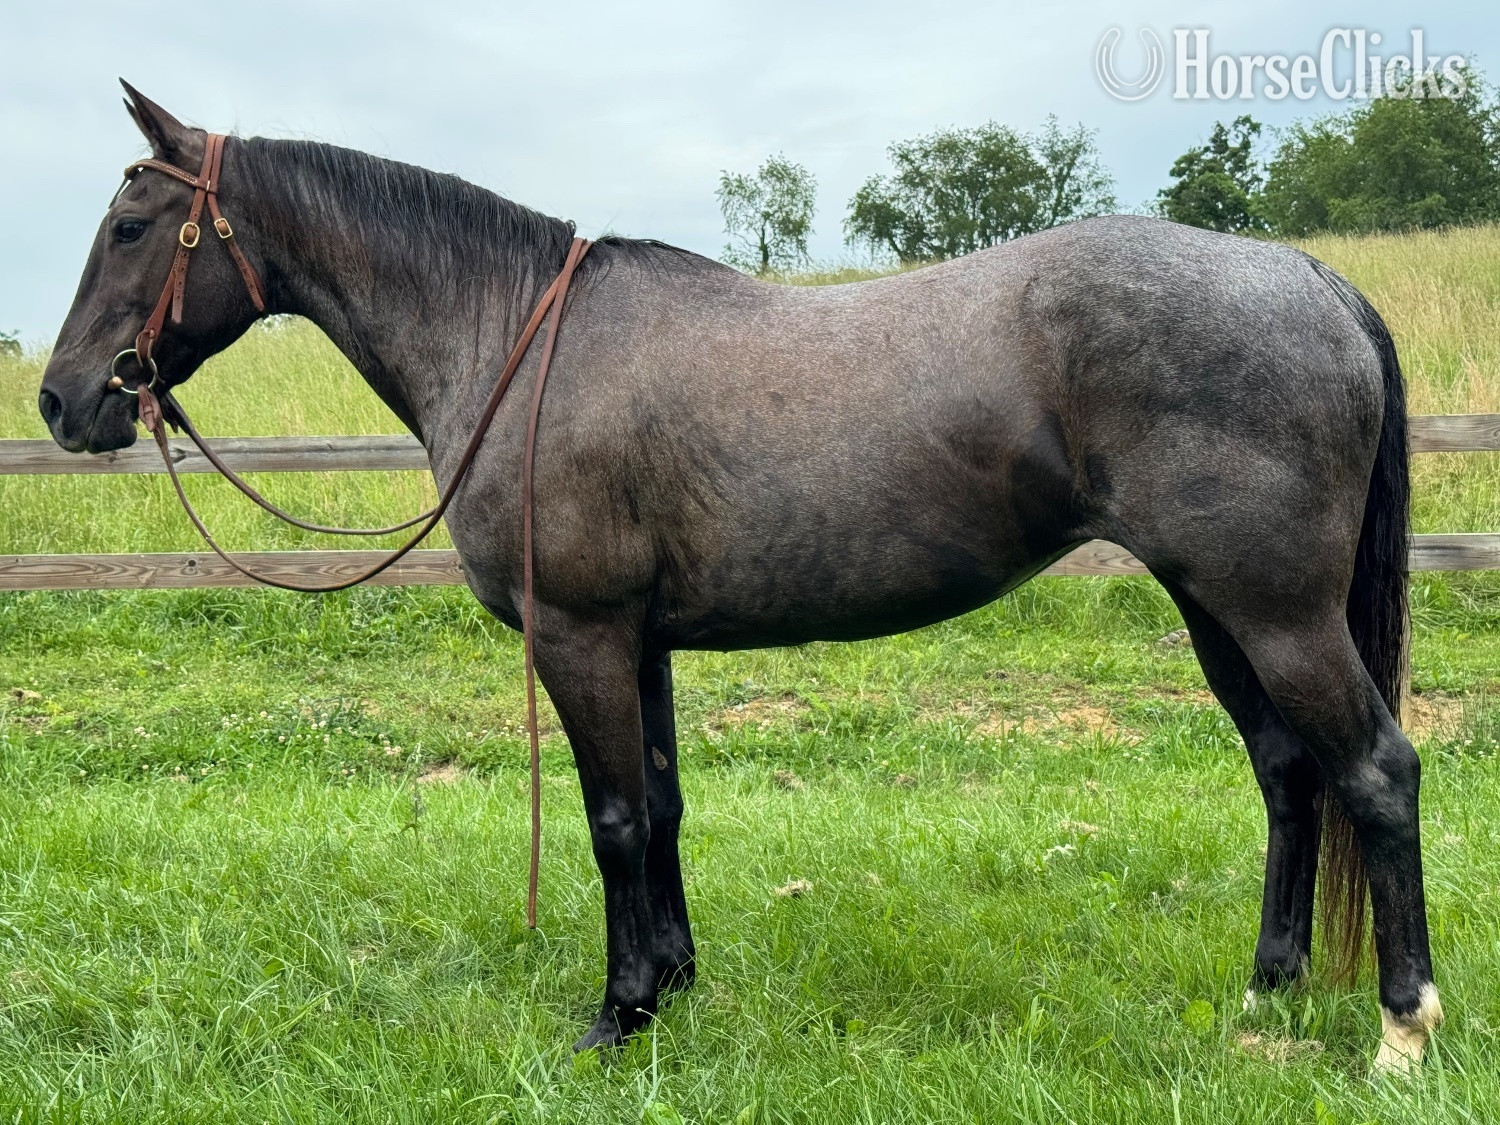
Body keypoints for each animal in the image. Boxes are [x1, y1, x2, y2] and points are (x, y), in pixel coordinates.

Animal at [38, 84, 1439, 1067]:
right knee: (1290, 772)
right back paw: (1265, 991)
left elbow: (610, 821)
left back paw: (1401, 1029)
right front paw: (672, 989)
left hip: (1275, 609)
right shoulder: (639, 641)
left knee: (1375, 771)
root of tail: (1308, 275)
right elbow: (659, 809)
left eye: (129, 224)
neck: (513, 339)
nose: (61, 403)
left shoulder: (582, 635)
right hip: (1216, 606)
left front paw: (615, 1016)